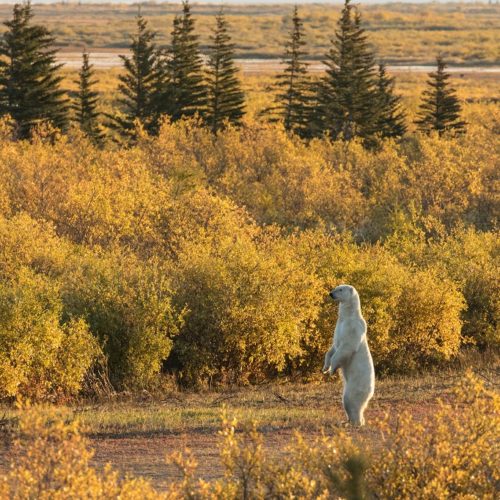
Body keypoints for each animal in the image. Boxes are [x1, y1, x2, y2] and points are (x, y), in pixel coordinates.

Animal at [324, 286, 376, 426]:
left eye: (340, 289)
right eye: (336, 287)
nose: (331, 294)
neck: (348, 316)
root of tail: (371, 392)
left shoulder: (353, 328)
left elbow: (346, 347)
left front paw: (332, 370)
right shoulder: (338, 327)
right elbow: (333, 347)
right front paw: (325, 368)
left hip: (356, 384)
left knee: (350, 400)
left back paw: (355, 422)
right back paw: (345, 421)